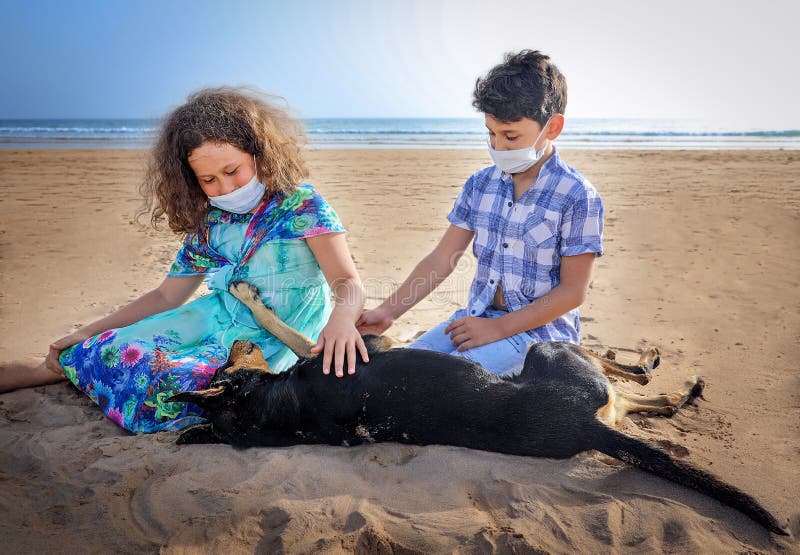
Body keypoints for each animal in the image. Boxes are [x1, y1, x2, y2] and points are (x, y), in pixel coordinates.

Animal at [170, 282, 788, 536]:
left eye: (225, 364)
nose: (234, 341)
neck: (282, 409)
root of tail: (583, 428)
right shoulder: (362, 347)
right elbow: (292, 332)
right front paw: (251, 300)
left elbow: (292, 333)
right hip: (553, 354)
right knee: (629, 385)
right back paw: (659, 370)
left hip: (578, 381)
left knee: (644, 397)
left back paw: (668, 378)